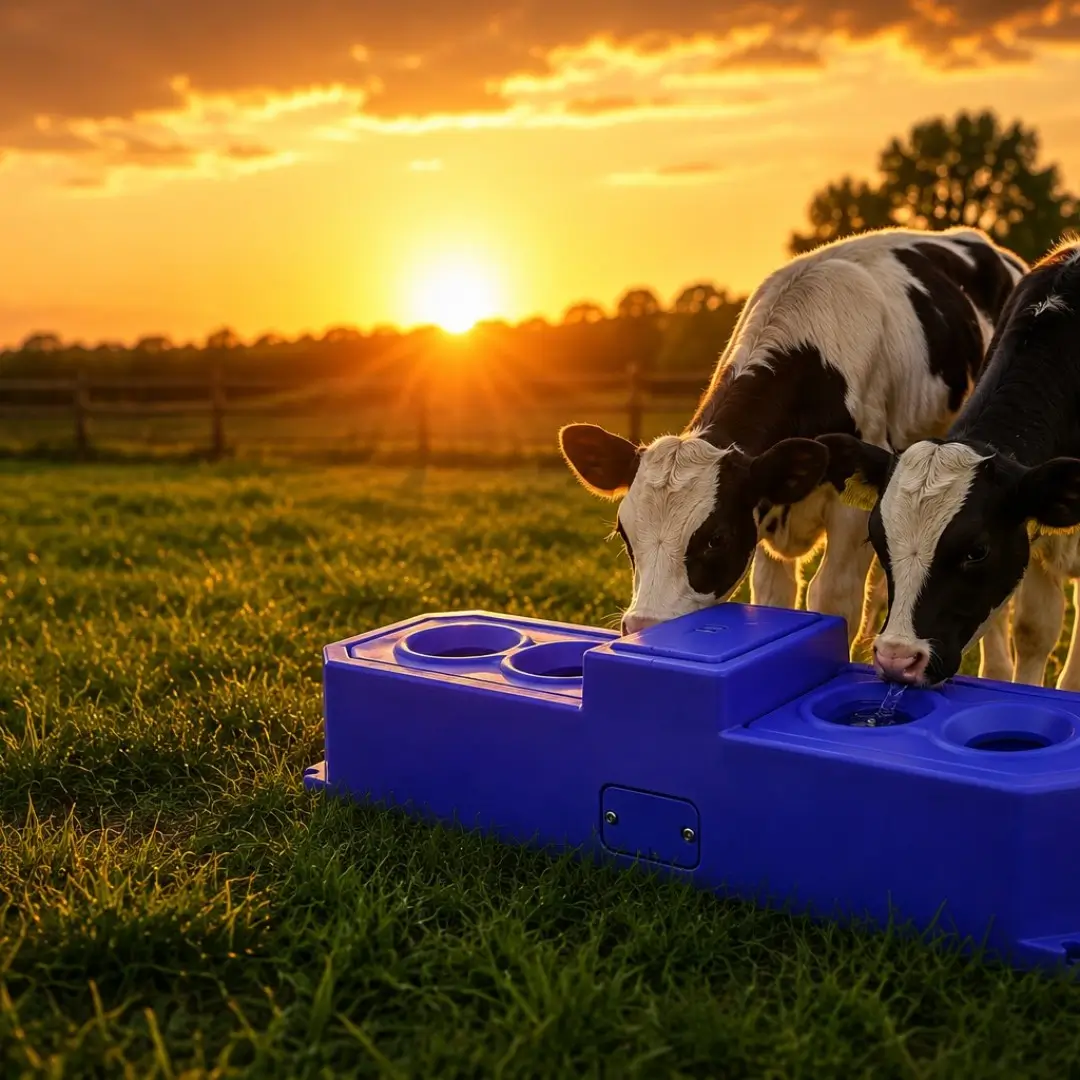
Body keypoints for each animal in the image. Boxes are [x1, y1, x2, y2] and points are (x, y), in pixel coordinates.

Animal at [559, 226, 1028, 666]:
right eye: (625, 533)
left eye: (716, 538)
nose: (643, 627)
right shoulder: (766, 509)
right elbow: (775, 599)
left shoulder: (851, 512)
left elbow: (832, 599)